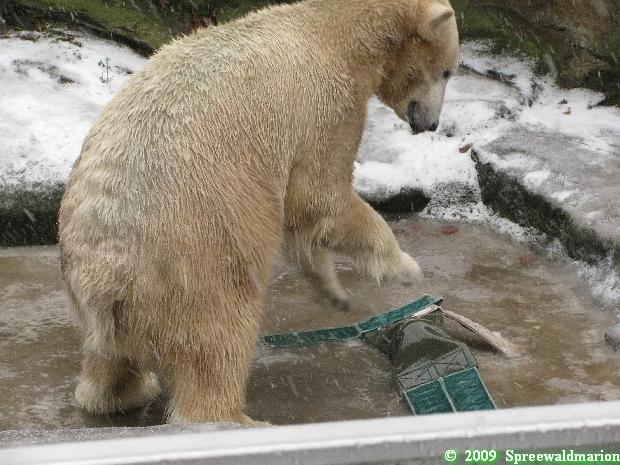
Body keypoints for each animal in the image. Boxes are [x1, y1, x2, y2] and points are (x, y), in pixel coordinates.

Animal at [58, 0, 459, 425]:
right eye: (447, 71)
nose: (431, 124)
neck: (334, 31)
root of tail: (107, 275)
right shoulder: (328, 104)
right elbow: (320, 195)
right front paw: (404, 269)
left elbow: (301, 222)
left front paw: (335, 293)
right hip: (191, 258)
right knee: (220, 335)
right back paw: (233, 418)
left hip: (96, 294)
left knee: (108, 359)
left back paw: (121, 394)